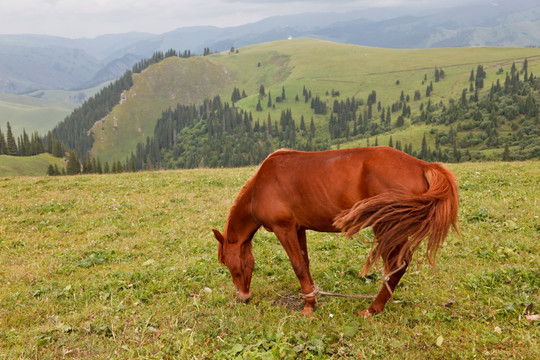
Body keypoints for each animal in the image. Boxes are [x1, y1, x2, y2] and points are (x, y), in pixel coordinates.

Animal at [213, 146, 458, 316]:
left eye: (229, 264)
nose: (243, 298)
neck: (260, 187)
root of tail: (421, 166)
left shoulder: (284, 229)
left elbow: (297, 265)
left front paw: (308, 307)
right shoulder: (298, 228)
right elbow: (305, 262)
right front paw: (312, 297)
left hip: (387, 226)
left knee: (399, 264)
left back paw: (373, 308)